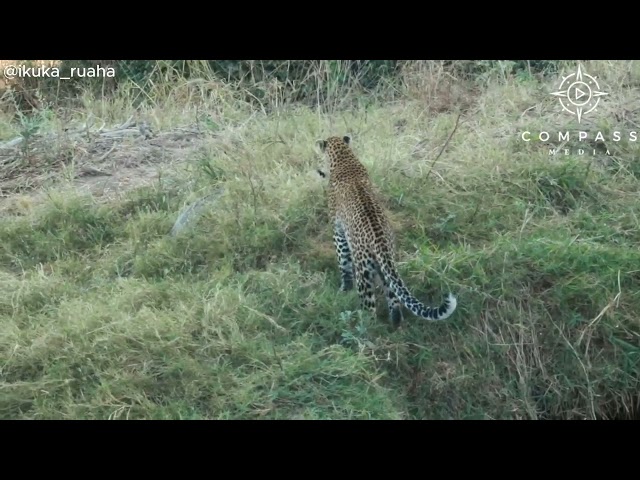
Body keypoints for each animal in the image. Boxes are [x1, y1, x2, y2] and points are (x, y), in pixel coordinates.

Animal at [315, 135, 457, 328]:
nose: (317, 170)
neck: (344, 158)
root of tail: (381, 242)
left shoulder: (338, 233)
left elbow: (343, 264)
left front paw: (344, 289)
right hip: (386, 269)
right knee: (394, 302)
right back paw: (395, 327)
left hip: (364, 272)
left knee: (369, 310)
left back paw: (361, 327)